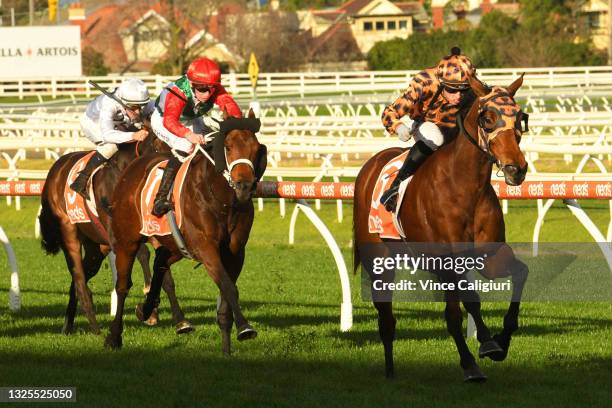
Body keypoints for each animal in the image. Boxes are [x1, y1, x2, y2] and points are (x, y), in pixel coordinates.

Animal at [39, 130, 191, 334]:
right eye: (159, 146)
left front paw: (180, 320)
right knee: (79, 277)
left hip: (96, 247)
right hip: (69, 231)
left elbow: (166, 276)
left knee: (80, 278)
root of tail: (55, 169)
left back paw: (67, 325)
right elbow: (143, 254)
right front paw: (149, 303)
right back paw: (94, 326)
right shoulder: (117, 233)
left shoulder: (151, 229)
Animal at [104, 112, 266, 354]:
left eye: (256, 149)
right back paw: (114, 336)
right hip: (127, 241)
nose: (244, 187)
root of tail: (131, 169)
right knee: (123, 286)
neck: (223, 201)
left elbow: (226, 292)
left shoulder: (236, 252)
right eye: (227, 146)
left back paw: (148, 309)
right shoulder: (206, 248)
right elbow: (229, 287)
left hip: (175, 245)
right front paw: (245, 328)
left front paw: (227, 349)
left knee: (160, 262)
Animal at [354, 75, 532, 380]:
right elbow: (466, 304)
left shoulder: (490, 256)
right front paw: (482, 349)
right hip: (379, 261)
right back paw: (391, 370)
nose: (515, 169)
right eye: (487, 118)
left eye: (520, 118)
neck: (465, 187)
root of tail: (370, 166)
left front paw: (501, 341)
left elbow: (520, 274)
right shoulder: (448, 260)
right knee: (387, 316)